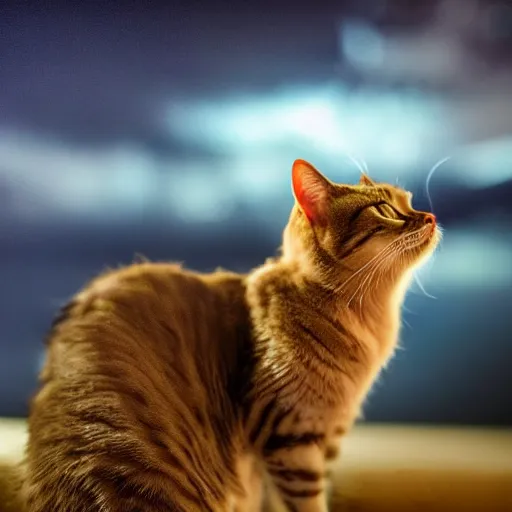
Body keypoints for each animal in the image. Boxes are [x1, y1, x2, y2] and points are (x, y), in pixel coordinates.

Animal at [21, 158, 440, 510]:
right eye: (385, 209)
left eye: (409, 201)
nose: (431, 216)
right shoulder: (290, 438)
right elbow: (306, 504)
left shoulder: (327, 437)